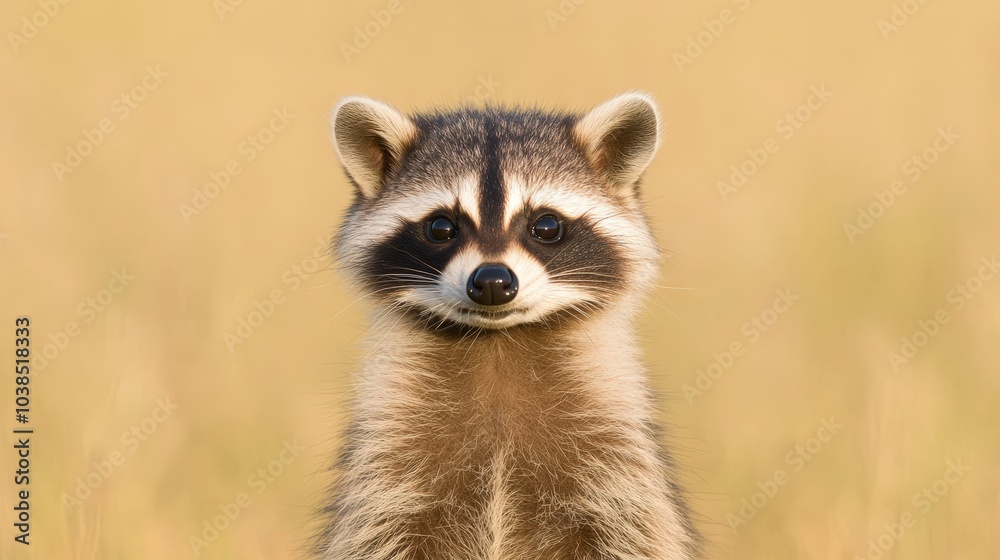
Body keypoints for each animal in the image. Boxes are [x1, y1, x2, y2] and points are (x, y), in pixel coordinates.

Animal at [314, 93, 700, 559]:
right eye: (441, 227)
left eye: (546, 225)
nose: (493, 282)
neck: (496, 342)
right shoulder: (387, 458)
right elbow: (379, 532)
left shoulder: (618, 459)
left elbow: (636, 533)